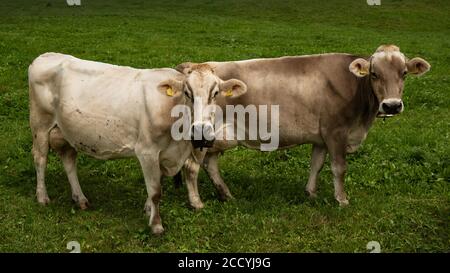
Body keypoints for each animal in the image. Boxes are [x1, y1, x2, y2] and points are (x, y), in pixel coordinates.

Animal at [28, 53, 246, 234]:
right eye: (187, 93)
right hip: (40, 125)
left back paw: (80, 199)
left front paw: (148, 210)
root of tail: (45, 55)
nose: (201, 132)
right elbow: (156, 191)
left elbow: (156, 185)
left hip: (67, 131)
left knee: (69, 161)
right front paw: (156, 225)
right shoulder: (147, 151)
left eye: (215, 93)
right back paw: (42, 197)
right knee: (40, 159)